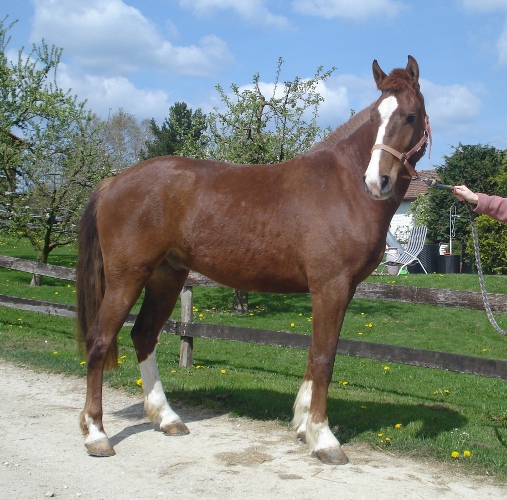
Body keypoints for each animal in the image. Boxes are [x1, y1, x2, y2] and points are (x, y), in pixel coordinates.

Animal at [77, 55, 430, 464]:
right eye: (376, 117)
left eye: (410, 116)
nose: (377, 182)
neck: (343, 188)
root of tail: (112, 182)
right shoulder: (331, 286)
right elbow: (324, 358)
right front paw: (324, 438)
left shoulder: (336, 290)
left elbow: (315, 353)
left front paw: (303, 425)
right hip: (127, 278)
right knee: (100, 340)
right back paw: (97, 435)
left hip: (167, 277)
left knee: (144, 335)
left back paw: (167, 419)